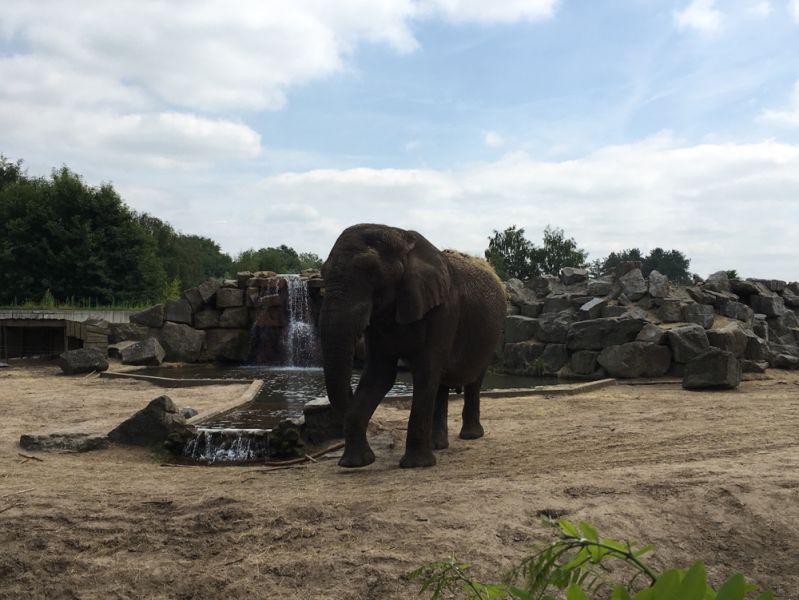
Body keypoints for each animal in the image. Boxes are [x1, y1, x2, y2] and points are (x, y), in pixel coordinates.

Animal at [320, 223, 507, 468]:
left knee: (473, 378)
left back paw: (470, 436)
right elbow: (379, 375)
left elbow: (425, 372)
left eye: (371, 272)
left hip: (491, 334)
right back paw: (438, 445)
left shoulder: (444, 310)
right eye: (322, 273)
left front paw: (416, 464)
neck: (402, 238)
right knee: (441, 383)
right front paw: (356, 463)